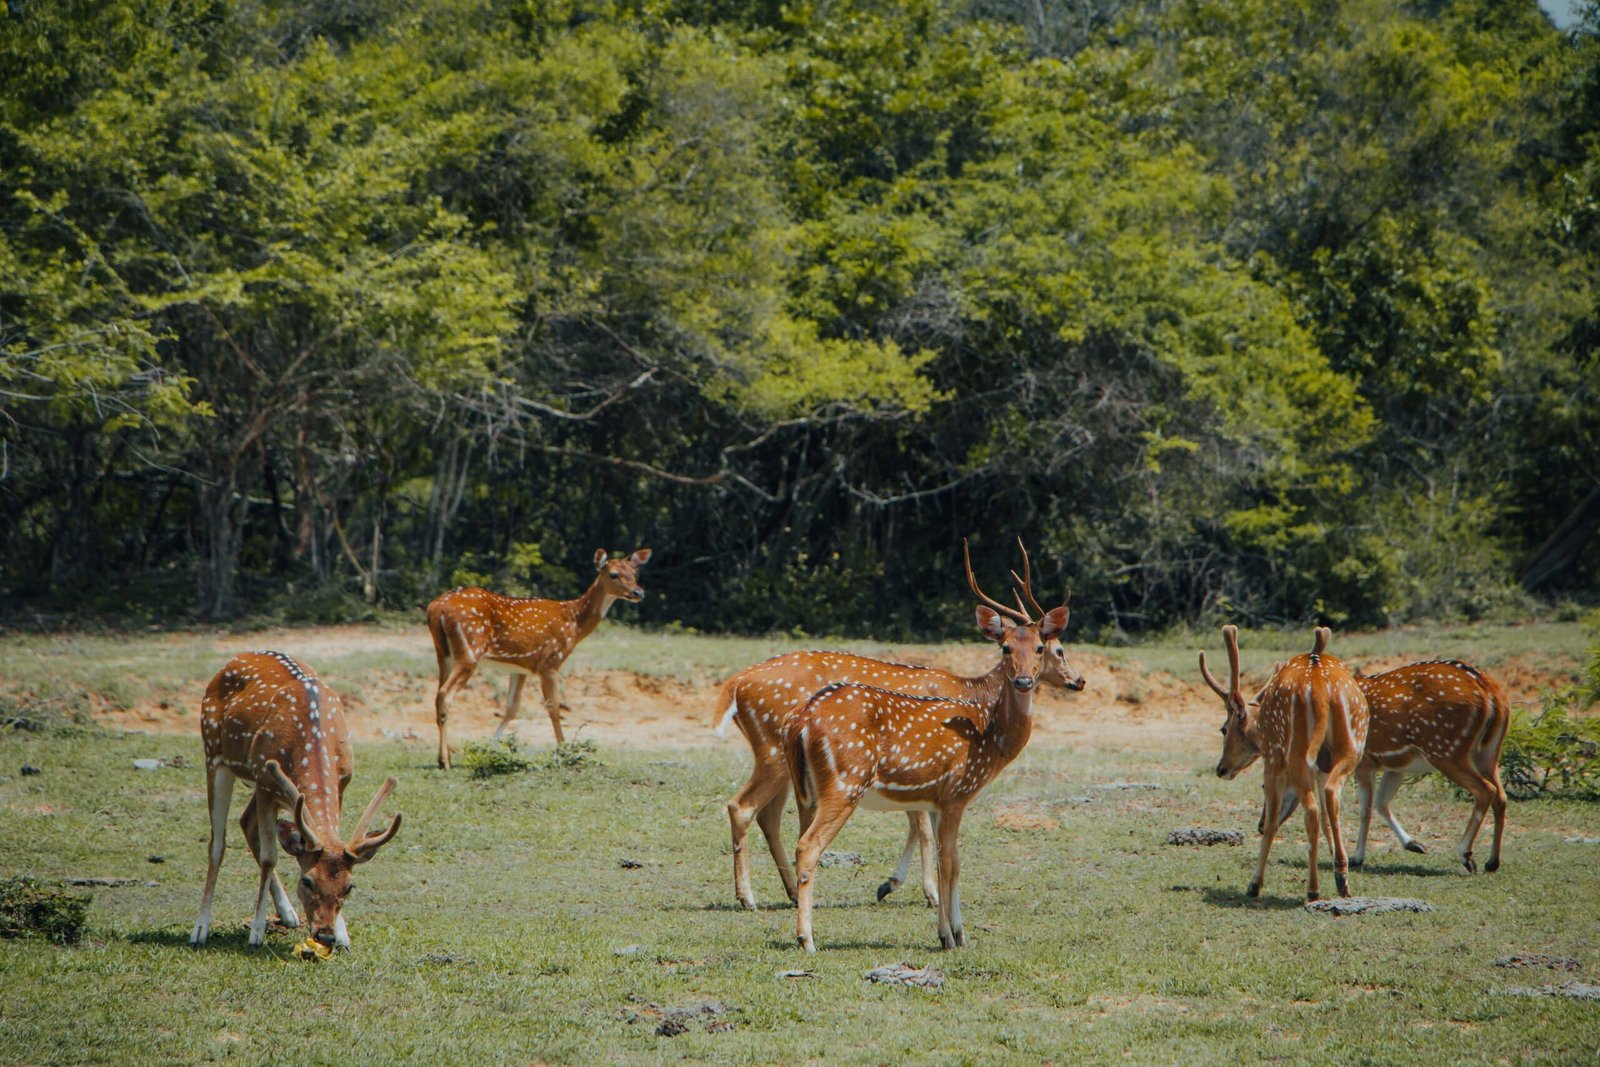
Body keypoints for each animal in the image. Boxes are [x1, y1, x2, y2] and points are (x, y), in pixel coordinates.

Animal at [190, 651, 402, 950]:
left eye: (349, 886)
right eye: (307, 881)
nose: (324, 935)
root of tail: (234, 659)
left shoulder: (342, 782)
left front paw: (343, 934)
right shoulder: (265, 781)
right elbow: (270, 857)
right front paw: (256, 933)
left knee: (246, 822)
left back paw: (288, 913)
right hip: (215, 756)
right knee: (217, 843)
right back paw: (200, 929)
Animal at [427, 547, 651, 768]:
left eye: (635, 573)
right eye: (613, 574)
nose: (639, 592)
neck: (575, 623)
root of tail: (436, 608)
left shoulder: (520, 666)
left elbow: (512, 708)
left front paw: (488, 748)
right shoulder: (550, 663)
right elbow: (554, 707)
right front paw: (564, 752)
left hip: (444, 654)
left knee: (437, 694)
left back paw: (443, 757)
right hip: (470, 651)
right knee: (445, 694)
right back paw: (445, 761)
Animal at [715, 540, 1085, 912]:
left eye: (1041, 647)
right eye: (1057, 649)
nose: (1078, 680)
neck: (973, 694)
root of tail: (735, 684)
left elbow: (915, 822)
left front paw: (891, 885)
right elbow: (923, 828)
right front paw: (925, 892)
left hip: (787, 765)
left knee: (770, 815)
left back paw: (790, 892)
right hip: (775, 751)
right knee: (743, 807)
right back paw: (749, 897)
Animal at [1201, 625, 1368, 901]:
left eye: (1223, 729)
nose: (1221, 769)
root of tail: (1320, 687)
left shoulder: (1272, 760)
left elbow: (1272, 821)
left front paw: (1254, 884)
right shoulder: (1321, 768)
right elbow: (1326, 818)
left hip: (1296, 754)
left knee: (1311, 811)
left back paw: (1313, 889)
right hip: (1352, 744)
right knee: (1331, 796)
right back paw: (1342, 879)